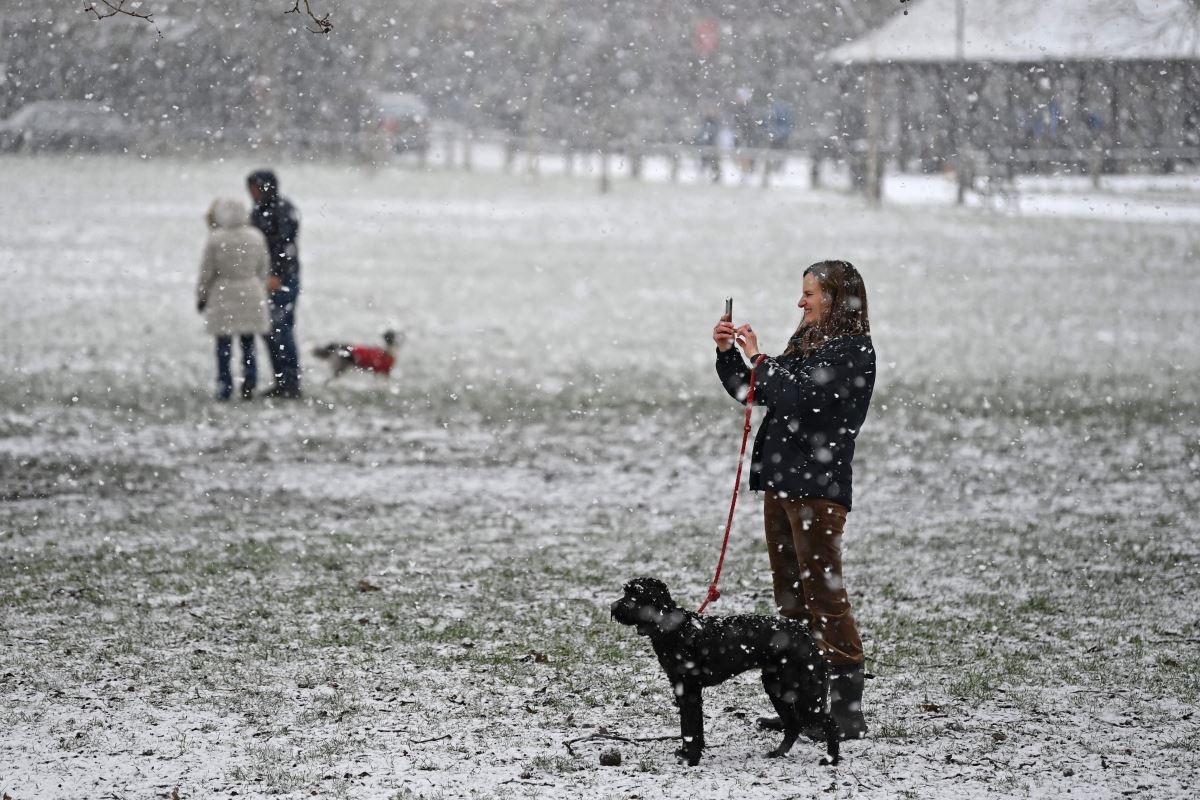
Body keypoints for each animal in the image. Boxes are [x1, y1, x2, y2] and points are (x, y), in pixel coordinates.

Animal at [609, 575, 835, 767]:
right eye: (626, 591)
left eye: (635, 594)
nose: (612, 606)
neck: (672, 627)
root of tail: (808, 635)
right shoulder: (681, 689)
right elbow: (687, 728)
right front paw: (686, 753)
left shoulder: (690, 691)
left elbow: (693, 727)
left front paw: (691, 759)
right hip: (778, 688)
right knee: (793, 725)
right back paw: (779, 753)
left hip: (805, 691)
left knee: (829, 722)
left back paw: (831, 759)